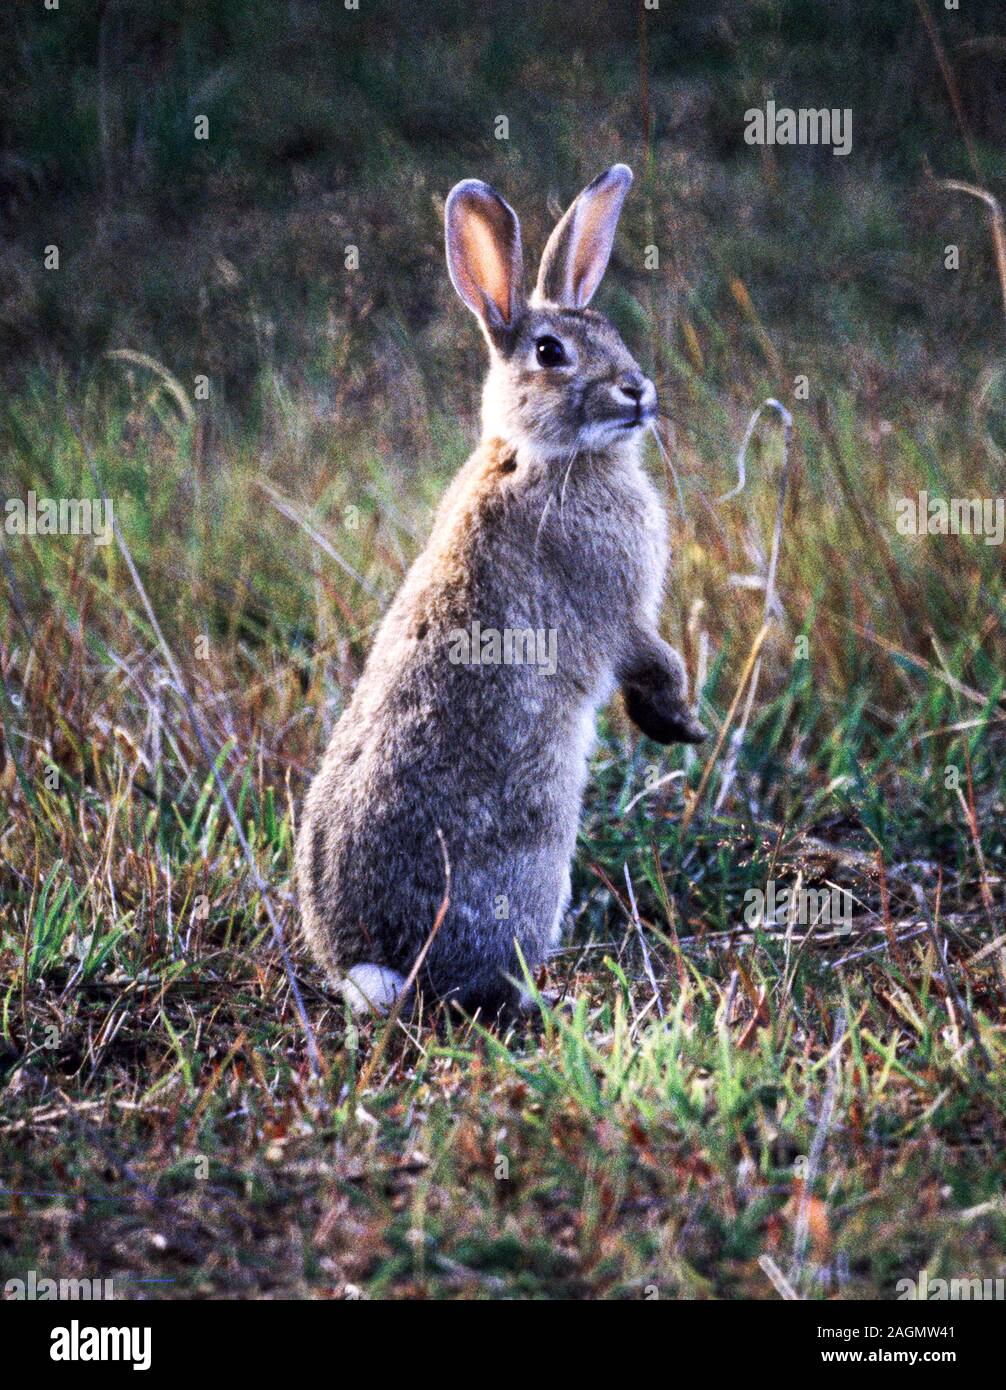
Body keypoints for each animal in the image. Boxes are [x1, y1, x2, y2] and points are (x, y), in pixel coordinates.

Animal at [295, 164, 706, 1021]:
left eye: (609, 327)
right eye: (550, 351)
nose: (638, 391)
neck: (543, 457)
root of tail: (372, 968)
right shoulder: (620, 613)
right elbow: (652, 660)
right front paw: (682, 725)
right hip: (531, 870)